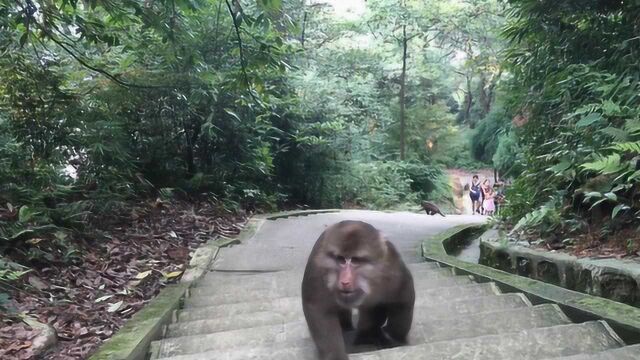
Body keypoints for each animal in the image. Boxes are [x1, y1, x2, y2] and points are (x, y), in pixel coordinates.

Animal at [302, 219, 416, 360]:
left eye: (356, 260)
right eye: (340, 259)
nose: (345, 281)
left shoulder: (392, 268)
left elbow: (403, 295)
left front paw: (393, 336)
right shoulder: (317, 271)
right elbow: (318, 308)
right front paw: (335, 355)